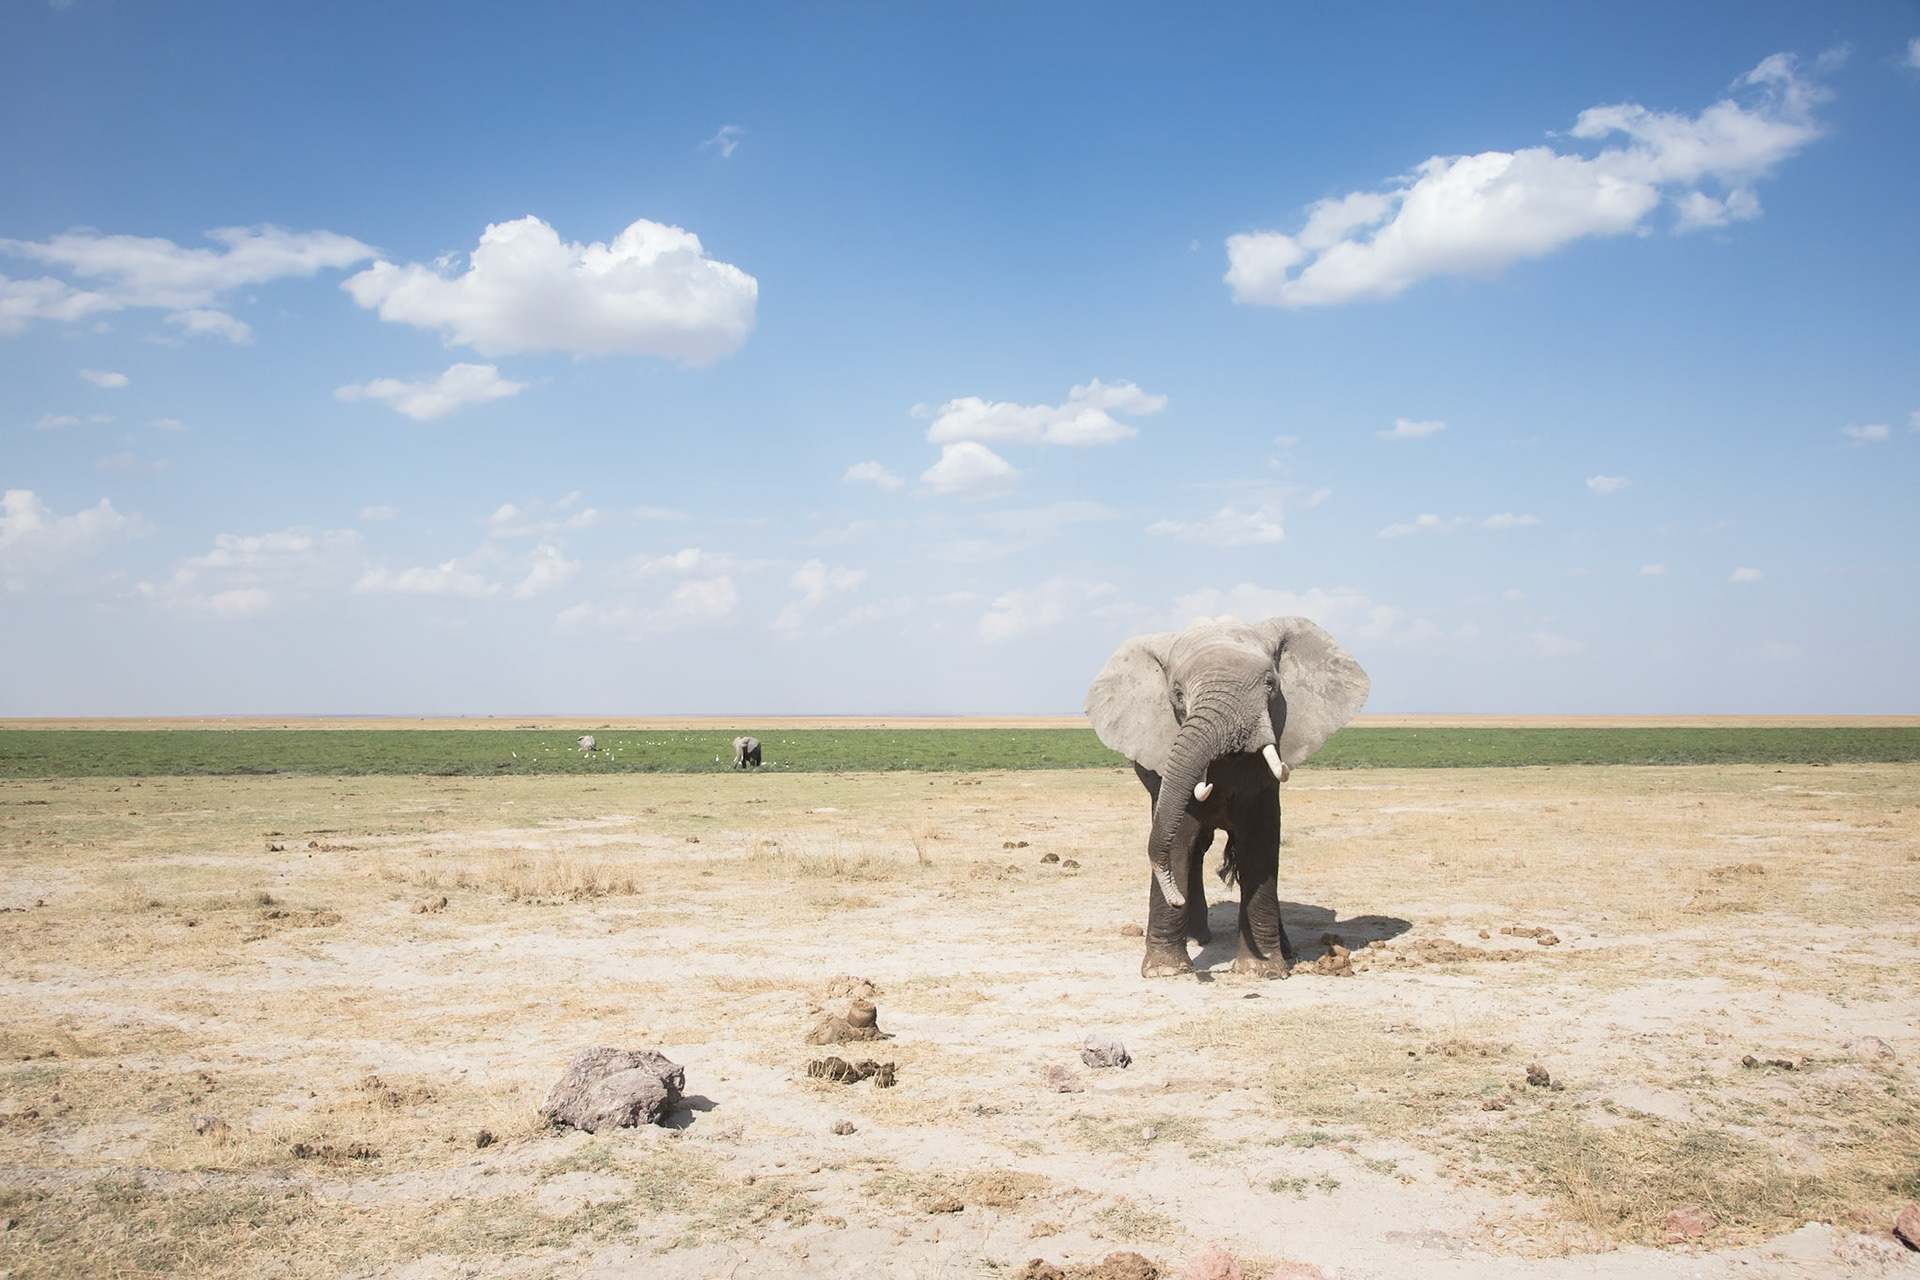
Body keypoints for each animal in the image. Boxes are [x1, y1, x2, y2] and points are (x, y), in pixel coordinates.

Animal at [1085, 615, 1369, 979]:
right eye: (1178, 694)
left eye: (1270, 684)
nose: (1176, 899)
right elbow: (1178, 840)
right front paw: (1167, 971)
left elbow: (1261, 841)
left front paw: (1261, 971)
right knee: (1195, 849)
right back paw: (1198, 937)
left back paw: (1283, 950)